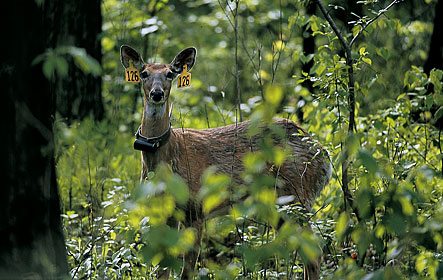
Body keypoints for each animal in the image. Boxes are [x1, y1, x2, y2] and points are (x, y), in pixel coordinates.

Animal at [119, 44, 332, 278]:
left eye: (170, 74)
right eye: (144, 73)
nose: (157, 94)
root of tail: (324, 154)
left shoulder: (196, 208)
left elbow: (187, 269)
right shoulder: (162, 213)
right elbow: (163, 269)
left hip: (298, 195)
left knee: (315, 253)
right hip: (280, 205)